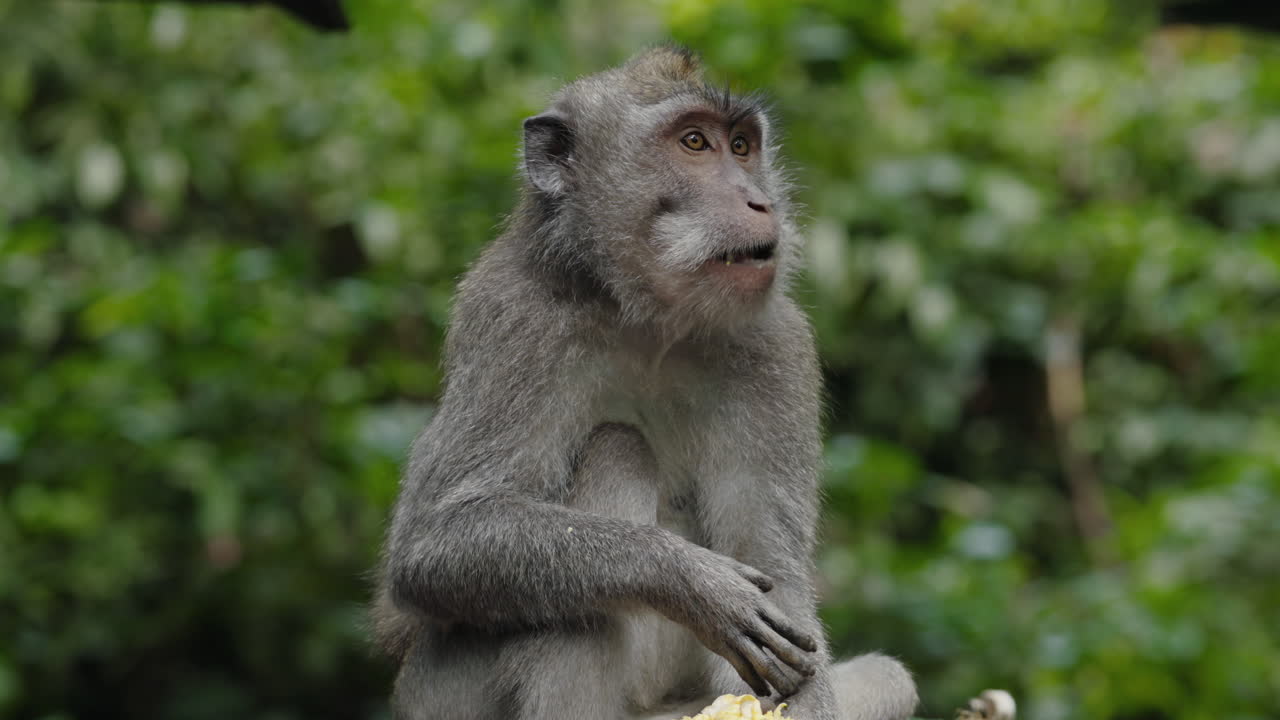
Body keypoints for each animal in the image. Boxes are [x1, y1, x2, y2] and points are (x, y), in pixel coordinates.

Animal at [374, 46, 919, 720]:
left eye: (742, 146)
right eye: (694, 143)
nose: (759, 202)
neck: (648, 320)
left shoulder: (777, 347)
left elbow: (776, 574)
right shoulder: (513, 319)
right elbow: (434, 543)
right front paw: (693, 582)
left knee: (889, 678)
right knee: (599, 507)